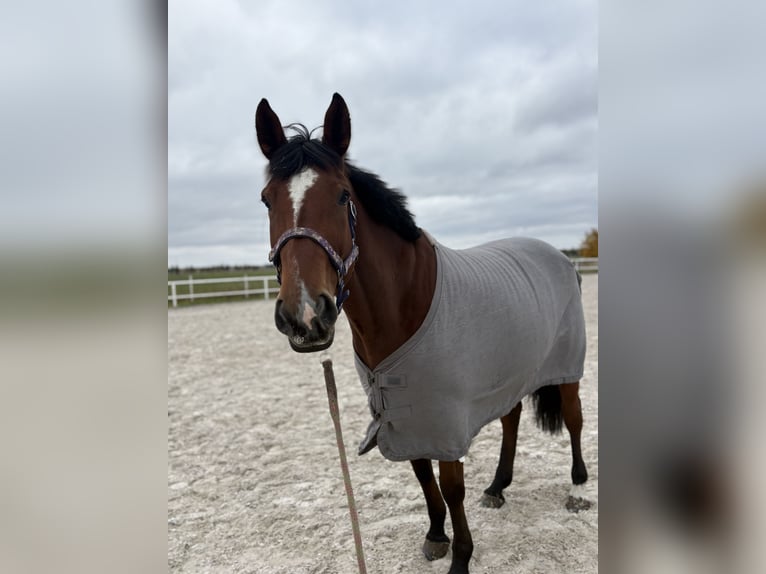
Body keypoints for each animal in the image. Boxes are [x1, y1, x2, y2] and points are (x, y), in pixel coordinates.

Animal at [255, 93, 588, 574]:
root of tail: (559, 256)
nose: (304, 313)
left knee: (576, 419)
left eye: (341, 195)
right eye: (267, 200)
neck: (405, 301)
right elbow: (420, 471)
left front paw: (461, 558)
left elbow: (451, 487)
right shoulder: (401, 408)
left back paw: (578, 489)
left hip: (567, 367)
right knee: (510, 418)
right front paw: (436, 536)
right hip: (510, 371)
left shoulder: (443, 415)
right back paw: (498, 487)